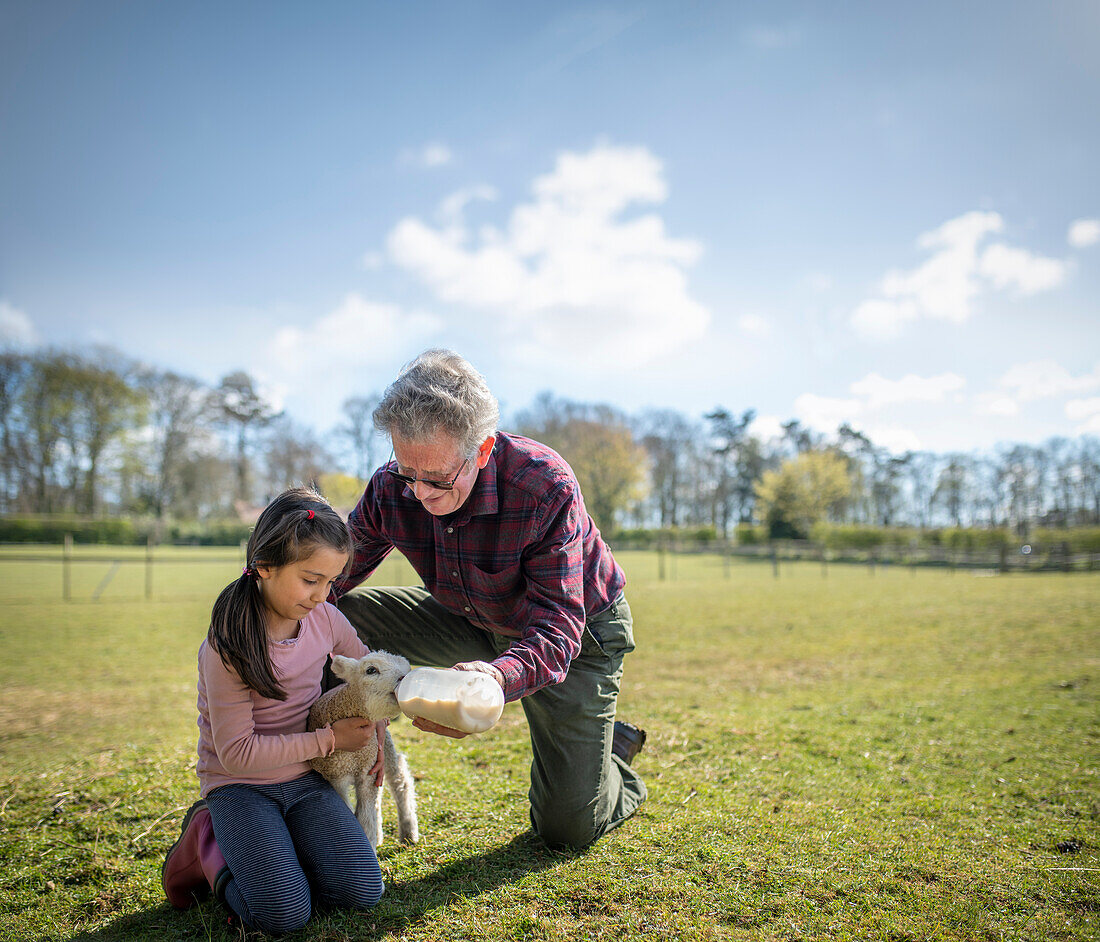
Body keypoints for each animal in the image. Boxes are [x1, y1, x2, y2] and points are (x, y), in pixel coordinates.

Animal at [308, 651, 418, 849]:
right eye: (371, 670)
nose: (404, 678)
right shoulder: (335, 776)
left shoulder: (368, 769)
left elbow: (366, 818)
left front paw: (370, 843)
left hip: (384, 747)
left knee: (400, 783)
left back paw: (409, 833)